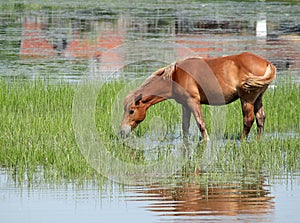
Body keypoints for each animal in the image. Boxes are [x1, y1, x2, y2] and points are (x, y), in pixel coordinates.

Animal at [120, 51, 276, 141]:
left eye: (131, 111)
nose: (122, 132)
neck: (176, 76)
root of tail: (267, 63)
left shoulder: (193, 102)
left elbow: (201, 124)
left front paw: (206, 141)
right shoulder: (185, 105)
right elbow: (185, 126)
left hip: (247, 99)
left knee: (248, 120)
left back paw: (241, 140)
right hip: (258, 98)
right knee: (260, 118)